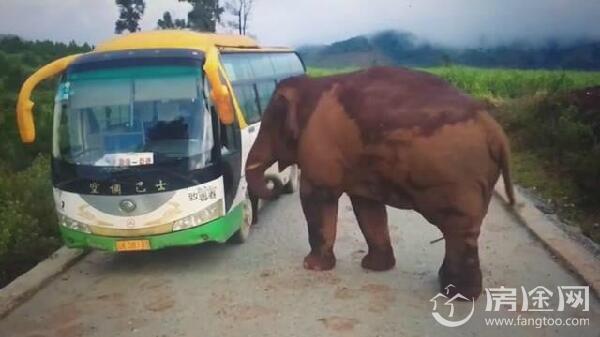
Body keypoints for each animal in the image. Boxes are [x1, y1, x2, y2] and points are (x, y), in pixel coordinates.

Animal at [245, 66, 516, 300]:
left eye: (267, 126)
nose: (274, 185)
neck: (312, 86)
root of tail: (496, 133)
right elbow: (367, 206)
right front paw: (375, 267)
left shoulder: (320, 147)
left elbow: (316, 197)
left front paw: (311, 266)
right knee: (464, 230)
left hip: (459, 179)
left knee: (458, 229)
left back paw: (456, 294)